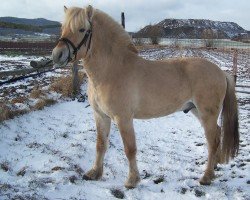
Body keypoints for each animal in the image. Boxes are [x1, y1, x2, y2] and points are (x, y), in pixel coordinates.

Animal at [51, 5, 239, 189]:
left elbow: (130, 149)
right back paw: (214, 167)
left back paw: (206, 177)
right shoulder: (101, 116)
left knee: (212, 140)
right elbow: (100, 144)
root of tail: (221, 72)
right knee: (217, 135)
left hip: (207, 114)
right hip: (197, 112)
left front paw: (132, 180)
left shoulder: (123, 119)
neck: (112, 70)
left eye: (82, 29)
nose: (57, 55)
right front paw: (95, 173)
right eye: (63, 28)